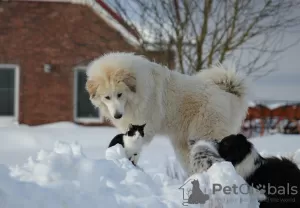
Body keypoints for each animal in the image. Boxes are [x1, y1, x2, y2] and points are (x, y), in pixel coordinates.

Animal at [85, 52, 248, 174]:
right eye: (107, 97)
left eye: (119, 94)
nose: (117, 115)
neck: (136, 92)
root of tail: (229, 93)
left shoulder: (143, 128)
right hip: (184, 146)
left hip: (206, 135)